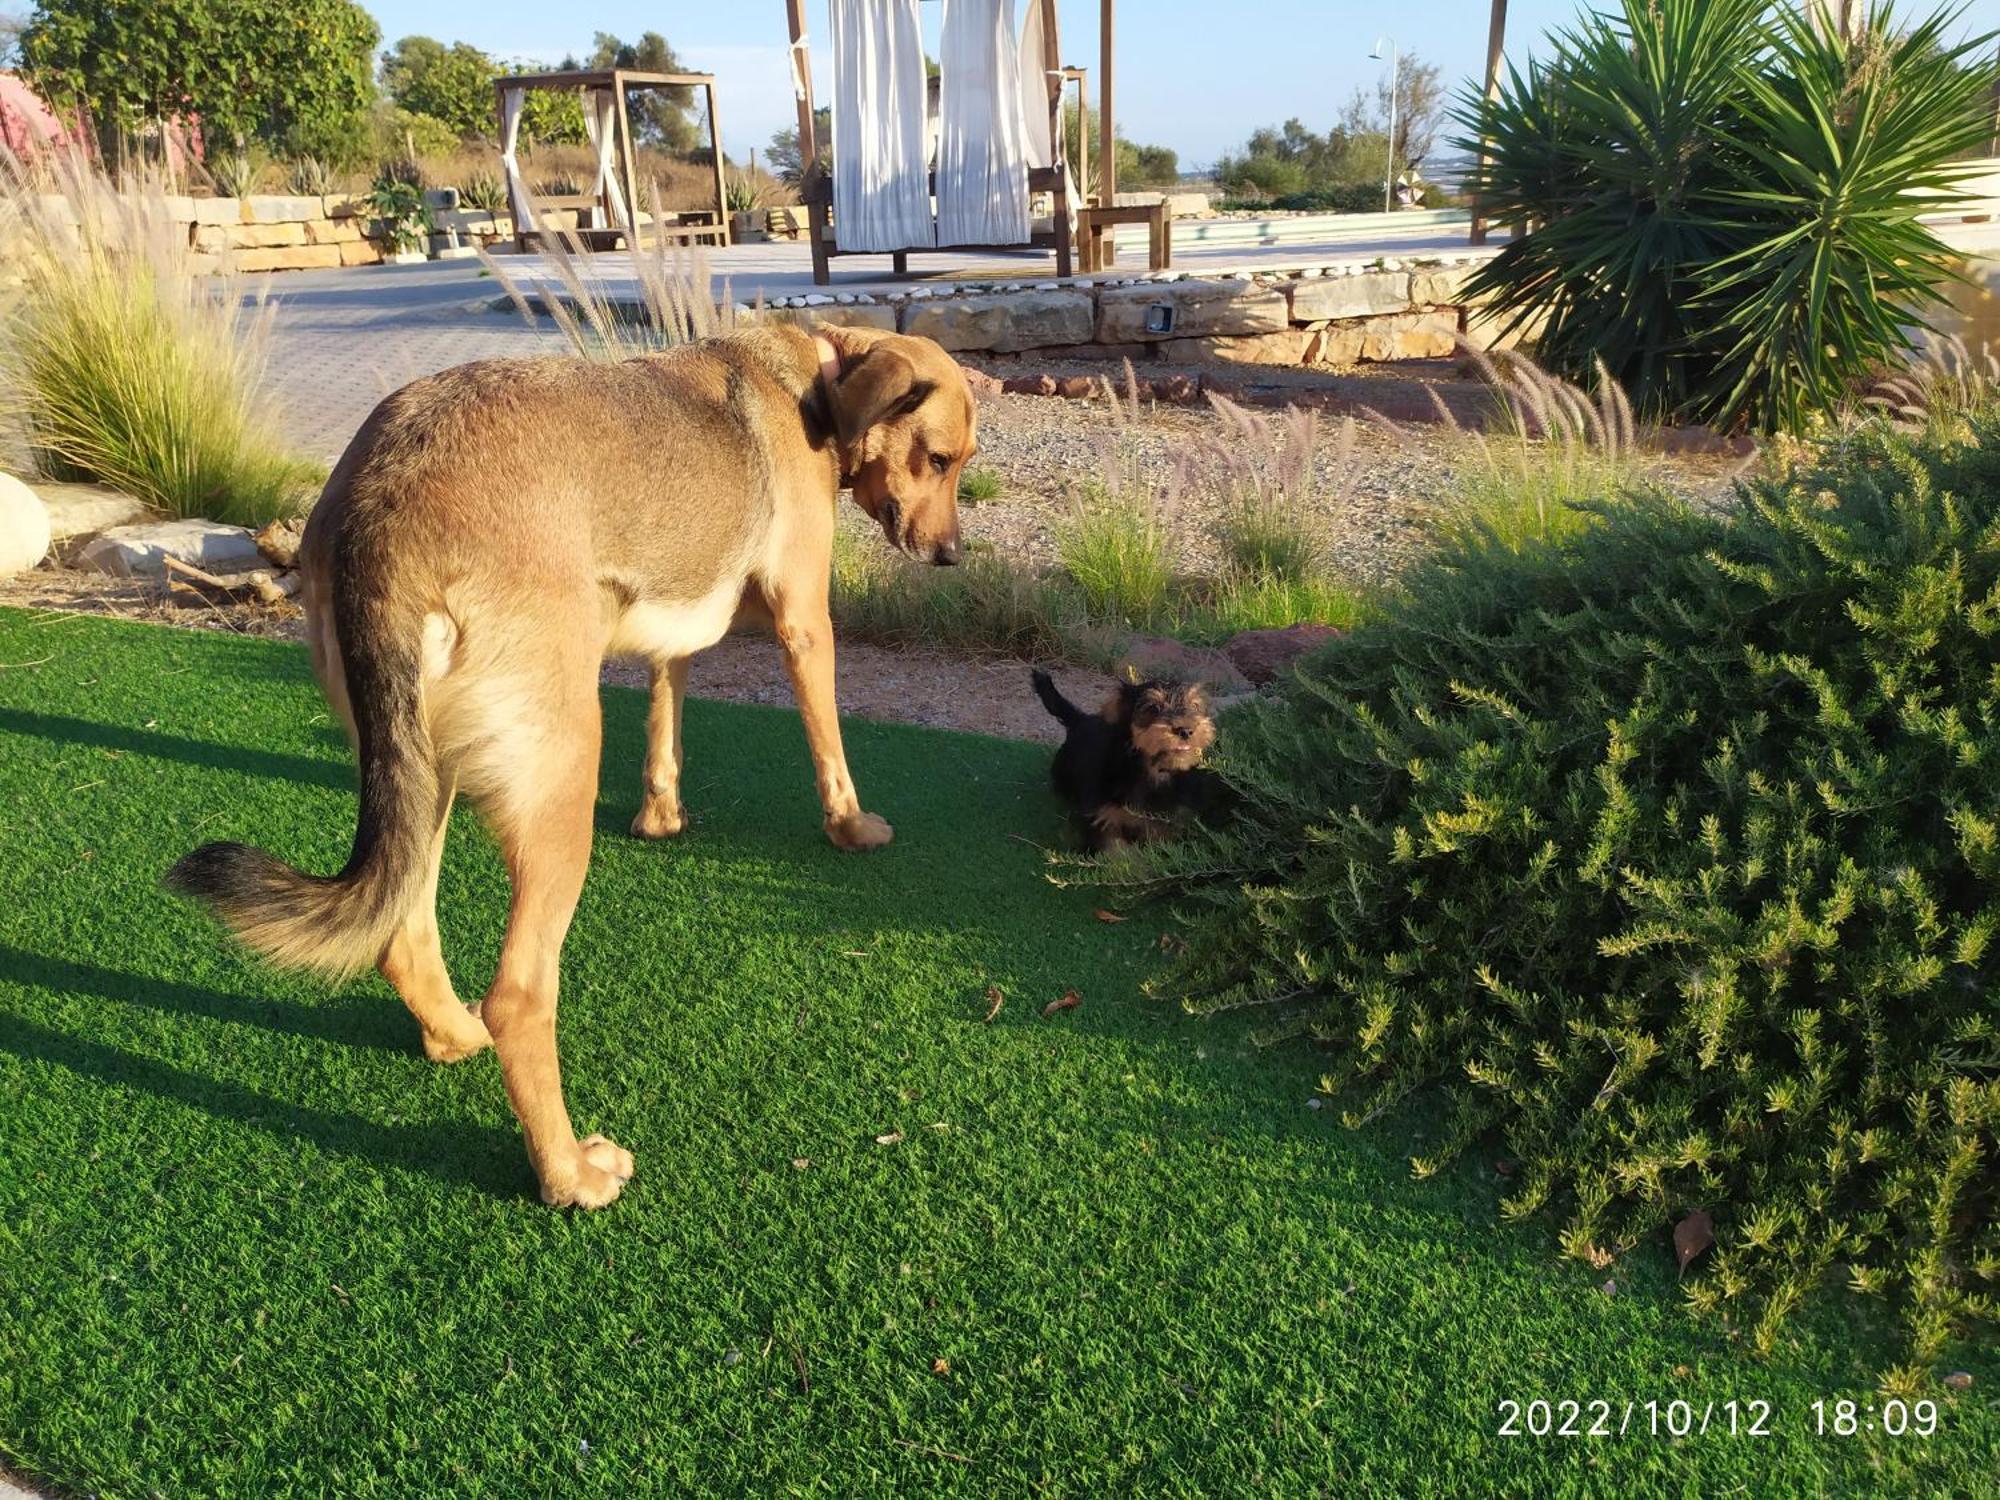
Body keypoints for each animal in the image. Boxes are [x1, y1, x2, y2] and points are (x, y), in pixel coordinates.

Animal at [170, 326, 976, 1208]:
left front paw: (661, 813)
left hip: (423, 772)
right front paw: (851, 825)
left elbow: (666, 712)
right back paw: (567, 1173)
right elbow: (828, 740)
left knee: (403, 931)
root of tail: (377, 511)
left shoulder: (669, 630)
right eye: (940, 459)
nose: (952, 555)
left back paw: (454, 1035)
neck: (816, 376)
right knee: (520, 996)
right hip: (560, 777)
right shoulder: (805, 620)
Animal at [1032, 672, 1216, 852]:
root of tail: (1081, 719)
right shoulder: (1105, 816)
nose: (1186, 730)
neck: (1153, 770)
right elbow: (1114, 852)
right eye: (1153, 708)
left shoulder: (1173, 822)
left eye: (1195, 706)